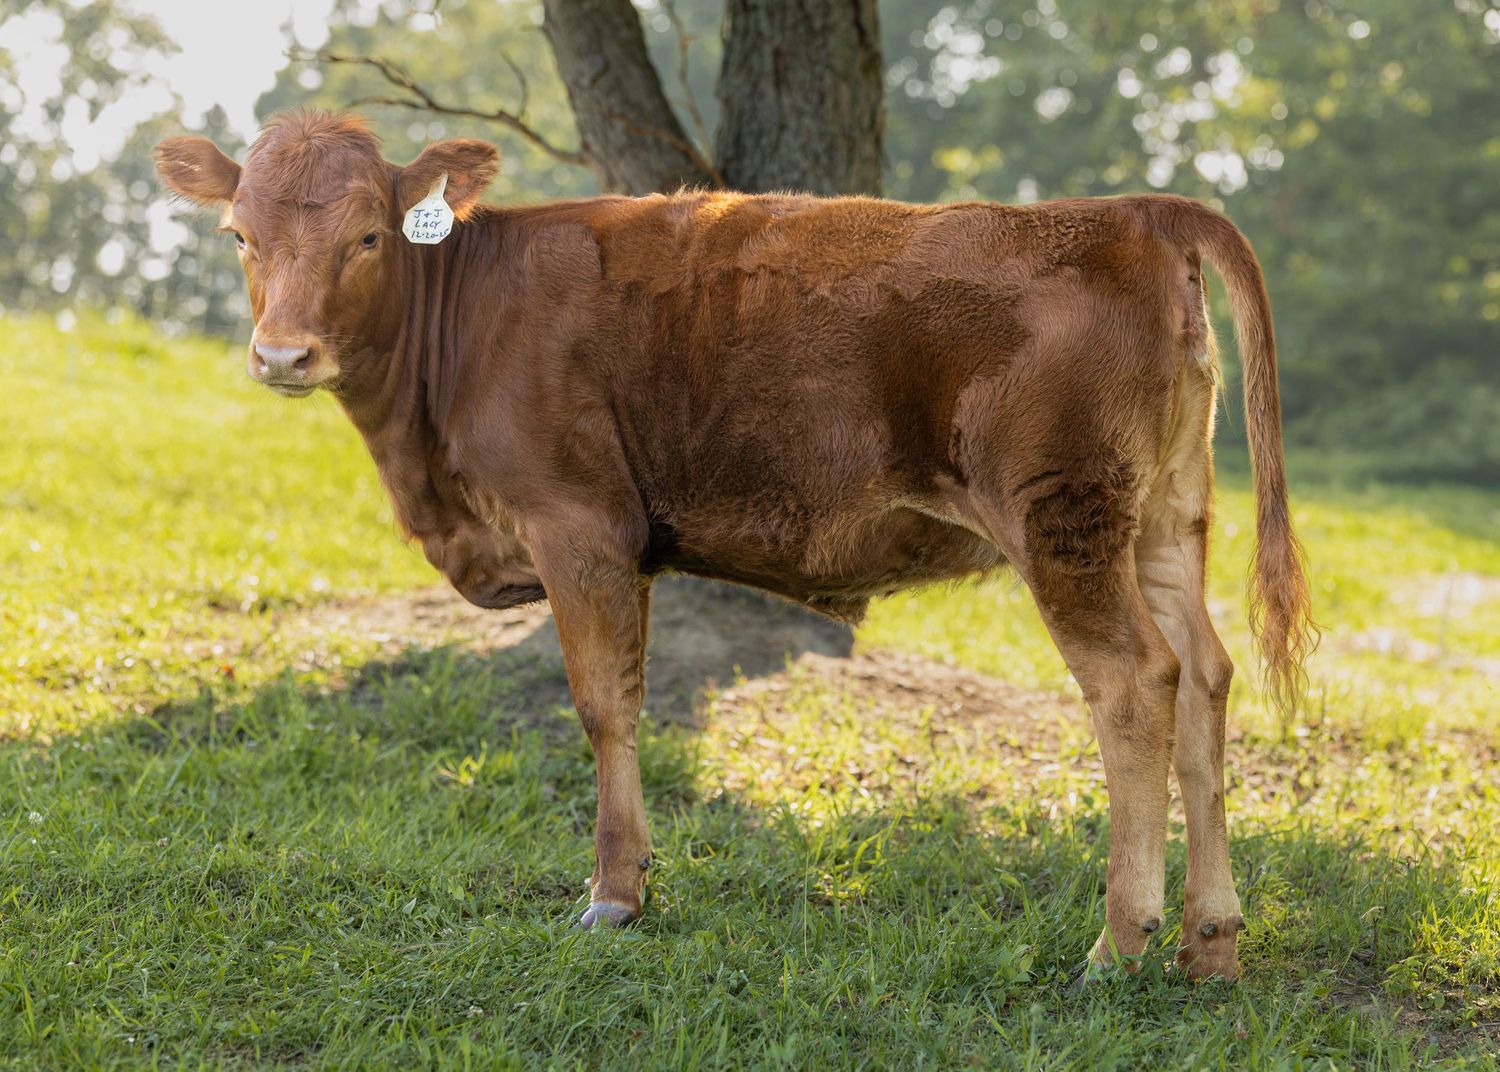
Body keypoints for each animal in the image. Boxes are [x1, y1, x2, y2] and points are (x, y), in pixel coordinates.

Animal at [155, 109, 1313, 982]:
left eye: (369, 236)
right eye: (239, 236)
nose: (282, 354)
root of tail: (1134, 210)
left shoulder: (577, 526)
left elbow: (605, 706)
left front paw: (613, 895)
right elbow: (627, 700)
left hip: (1063, 516)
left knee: (1135, 683)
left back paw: (1119, 943)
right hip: (1162, 518)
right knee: (1207, 674)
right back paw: (1212, 940)